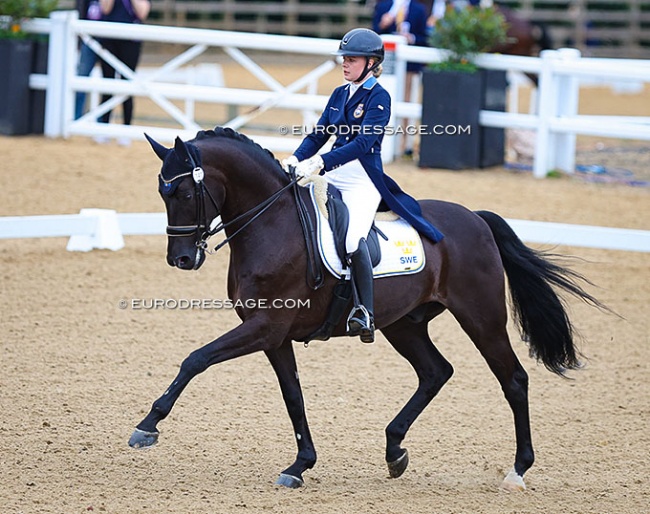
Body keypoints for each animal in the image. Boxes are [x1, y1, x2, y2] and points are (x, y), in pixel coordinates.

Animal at [129, 127, 604, 488]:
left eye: (184, 191)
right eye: (161, 191)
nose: (181, 259)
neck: (273, 225)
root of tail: (475, 218)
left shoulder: (265, 326)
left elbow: (196, 359)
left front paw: (147, 426)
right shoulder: (274, 336)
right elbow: (293, 396)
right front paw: (300, 465)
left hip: (482, 319)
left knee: (514, 380)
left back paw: (518, 470)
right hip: (404, 324)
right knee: (436, 372)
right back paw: (395, 450)